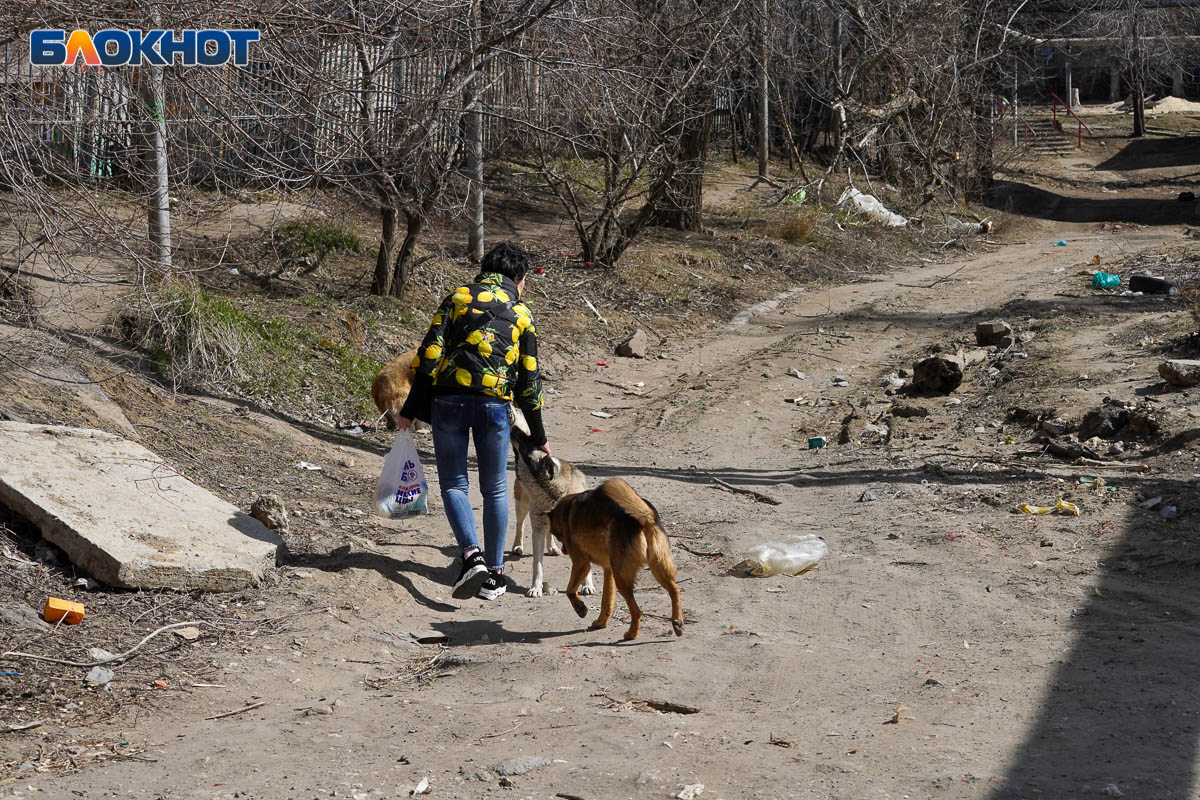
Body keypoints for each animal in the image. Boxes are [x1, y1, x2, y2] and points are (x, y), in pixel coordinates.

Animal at [511, 410, 595, 597]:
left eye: (528, 444)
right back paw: (518, 545)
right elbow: (537, 565)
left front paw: (587, 585)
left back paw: (552, 547)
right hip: (522, 505)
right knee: (520, 524)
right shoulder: (537, 531)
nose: (513, 428)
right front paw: (536, 587)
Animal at [547, 479, 686, 642]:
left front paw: (579, 607)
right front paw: (601, 622)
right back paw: (677, 622)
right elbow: (606, 602)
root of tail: (644, 518)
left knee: (637, 611)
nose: (564, 550)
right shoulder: (609, 570)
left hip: (622, 578)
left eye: (557, 535)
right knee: (675, 590)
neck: (568, 509)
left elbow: (569, 590)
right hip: (656, 568)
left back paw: (631, 634)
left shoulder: (582, 564)